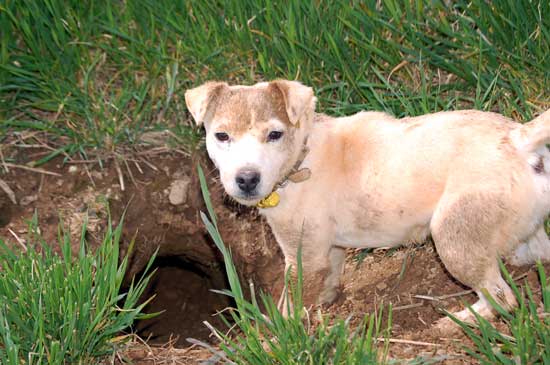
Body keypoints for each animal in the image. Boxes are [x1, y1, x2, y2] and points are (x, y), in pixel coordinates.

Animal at [187, 80, 550, 328]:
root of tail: (517, 139)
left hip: (453, 236)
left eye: (274, 135)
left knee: (503, 297)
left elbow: (292, 299)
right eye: (221, 136)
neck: (302, 156)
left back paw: (459, 320)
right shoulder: (327, 247)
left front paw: (280, 332)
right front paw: (326, 298)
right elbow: (332, 273)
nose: (246, 179)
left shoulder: (302, 255)